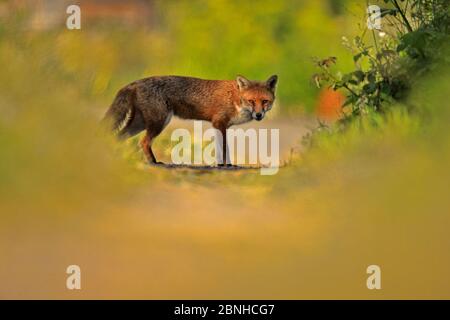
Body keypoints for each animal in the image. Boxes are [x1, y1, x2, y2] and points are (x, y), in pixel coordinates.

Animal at [103, 75, 276, 165]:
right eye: (251, 101)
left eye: (265, 101)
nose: (258, 115)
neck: (235, 99)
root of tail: (135, 83)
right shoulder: (219, 123)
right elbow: (224, 148)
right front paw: (224, 165)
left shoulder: (222, 126)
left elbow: (224, 148)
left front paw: (225, 164)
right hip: (159, 122)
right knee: (144, 142)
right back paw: (154, 162)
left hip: (139, 124)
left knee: (118, 137)